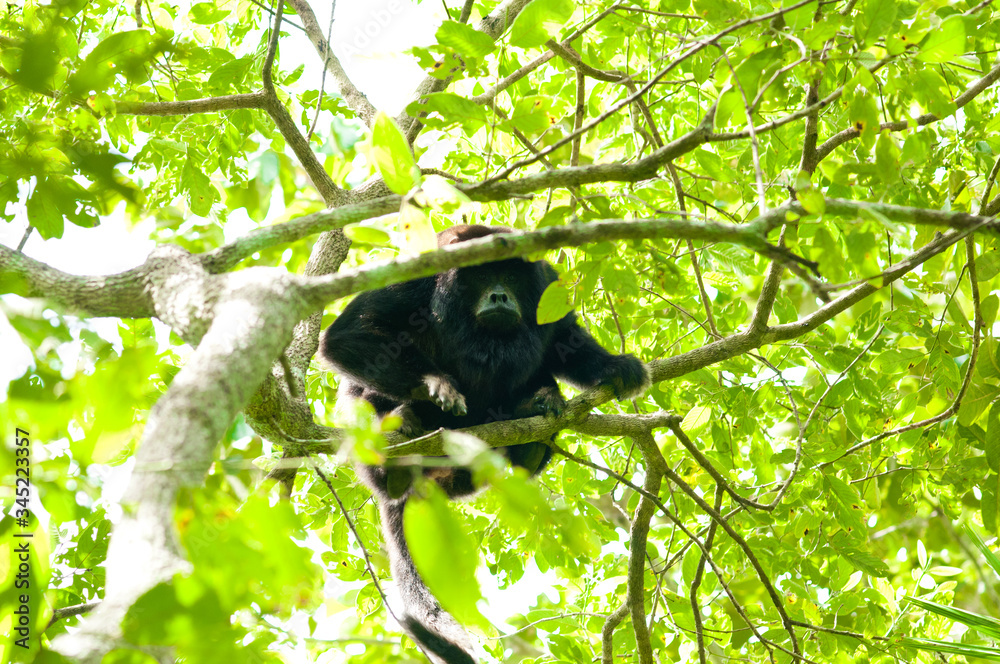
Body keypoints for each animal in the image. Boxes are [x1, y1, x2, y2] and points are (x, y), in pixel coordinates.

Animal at [321, 225, 650, 663]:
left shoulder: (545, 281)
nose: (498, 296)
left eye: (508, 276)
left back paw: (535, 421)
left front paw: (614, 366)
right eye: (480, 276)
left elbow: (563, 336)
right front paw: (435, 385)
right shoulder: (416, 275)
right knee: (368, 385)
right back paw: (399, 448)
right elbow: (347, 336)